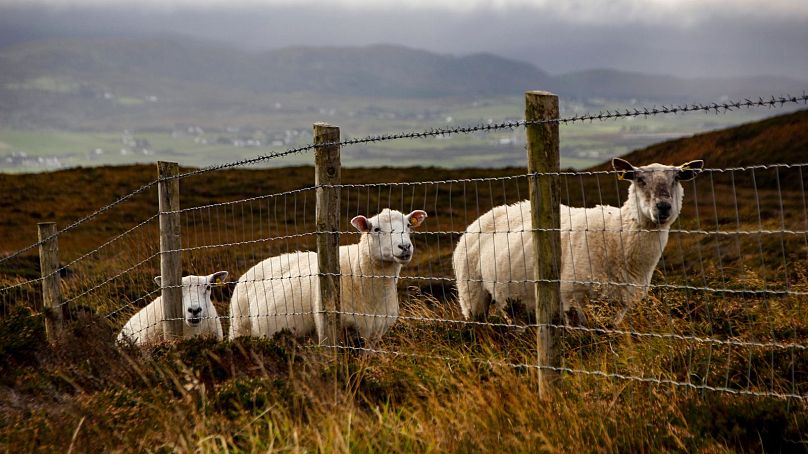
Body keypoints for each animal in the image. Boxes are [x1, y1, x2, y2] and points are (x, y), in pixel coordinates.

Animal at [227, 209, 430, 340]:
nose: (405, 246)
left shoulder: (374, 333)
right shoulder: (330, 327)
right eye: (376, 229)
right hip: (240, 326)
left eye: (408, 225)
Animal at [452, 159, 704, 322]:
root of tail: (480, 219)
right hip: (471, 293)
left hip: (513, 300)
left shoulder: (619, 305)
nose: (663, 207)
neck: (617, 236)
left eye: (677, 178)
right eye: (640, 179)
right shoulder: (572, 297)